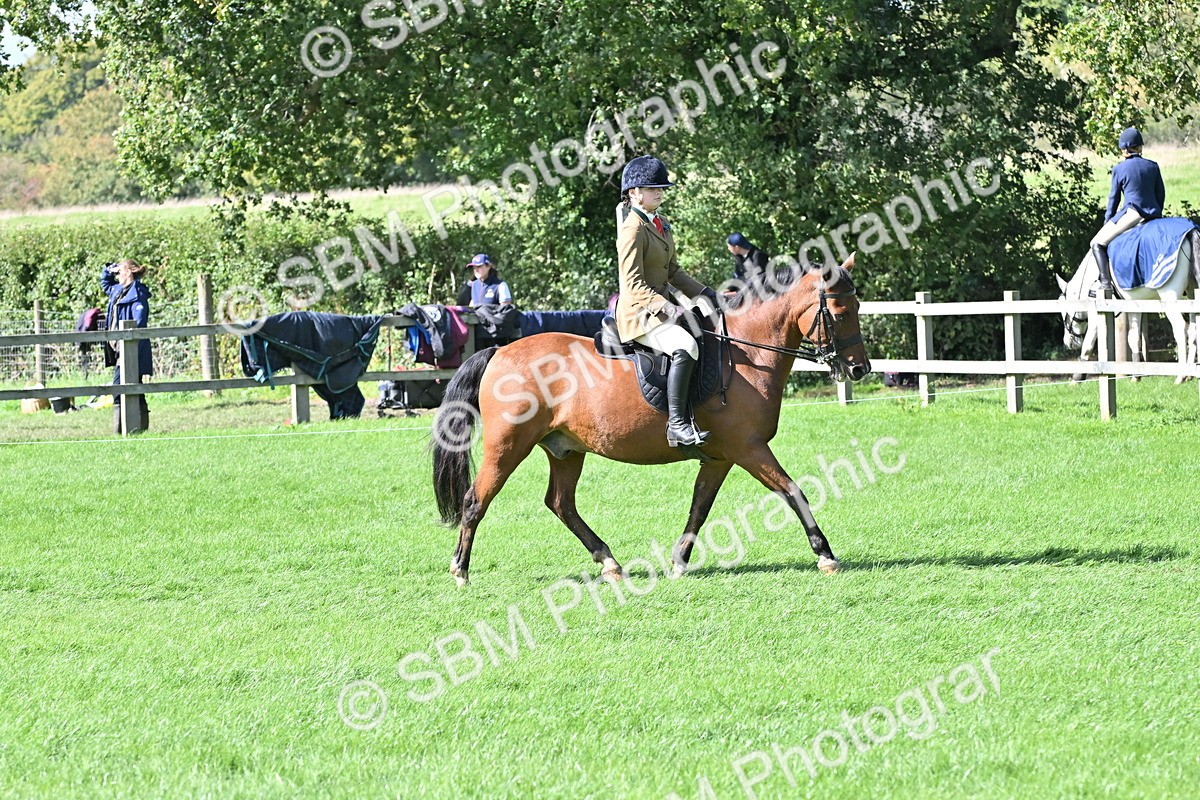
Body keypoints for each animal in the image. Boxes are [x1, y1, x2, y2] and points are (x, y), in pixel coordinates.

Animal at [431, 255, 871, 586]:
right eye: (840, 312)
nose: (860, 369)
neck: (744, 352)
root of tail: (500, 352)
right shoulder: (749, 449)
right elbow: (793, 491)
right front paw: (825, 555)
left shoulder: (721, 457)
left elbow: (699, 507)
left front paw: (678, 561)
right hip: (507, 446)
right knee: (476, 500)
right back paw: (460, 572)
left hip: (565, 449)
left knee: (561, 504)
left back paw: (609, 563)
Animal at [1057, 226, 1199, 383]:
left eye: (1063, 312)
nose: (1067, 343)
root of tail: (1190, 231)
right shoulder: (1133, 306)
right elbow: (1133, 338)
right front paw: (1136, 375)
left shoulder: (1096, 312)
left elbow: (1089, 341)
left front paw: (1077, 377)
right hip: (1192, 293)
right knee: (1193, 329)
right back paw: (1190, 374)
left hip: (1169, 297)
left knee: (1180, 327)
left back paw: (1181, 376)